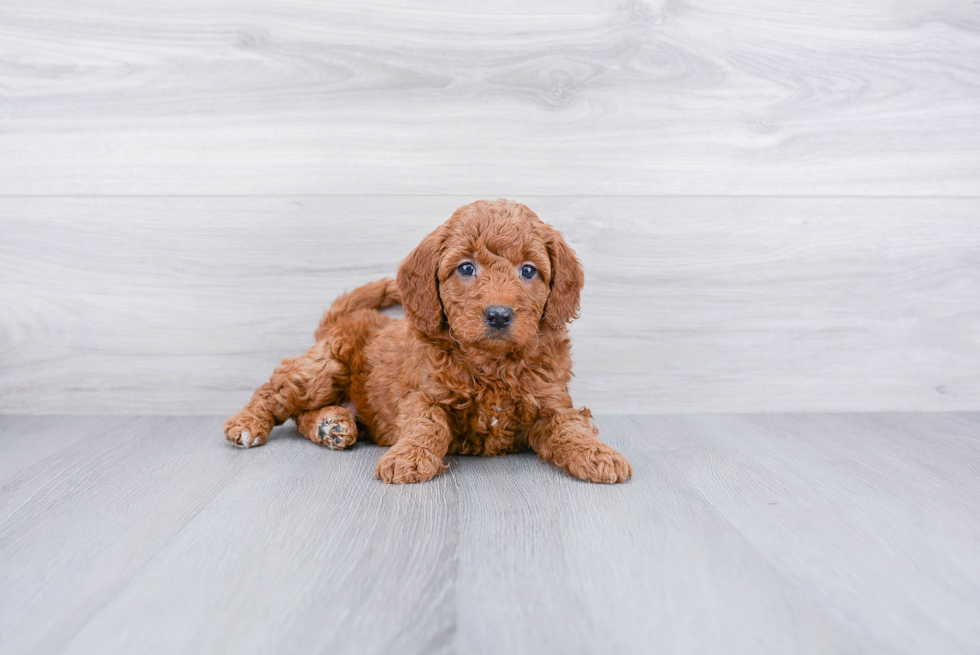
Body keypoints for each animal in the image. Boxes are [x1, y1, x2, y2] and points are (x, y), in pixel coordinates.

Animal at [222, 197, 632, 484]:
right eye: (466, 268)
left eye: (529, 271)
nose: (499, 314)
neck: (492, 363)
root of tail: (345, 318)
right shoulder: (425, 393)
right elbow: (427, 423)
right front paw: (409, 458)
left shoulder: (551, 401)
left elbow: (570, 426)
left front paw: (599, 454)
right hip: (324, 368)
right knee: (279, 393)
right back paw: (248, 423)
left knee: (302, 415)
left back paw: (332, 425)